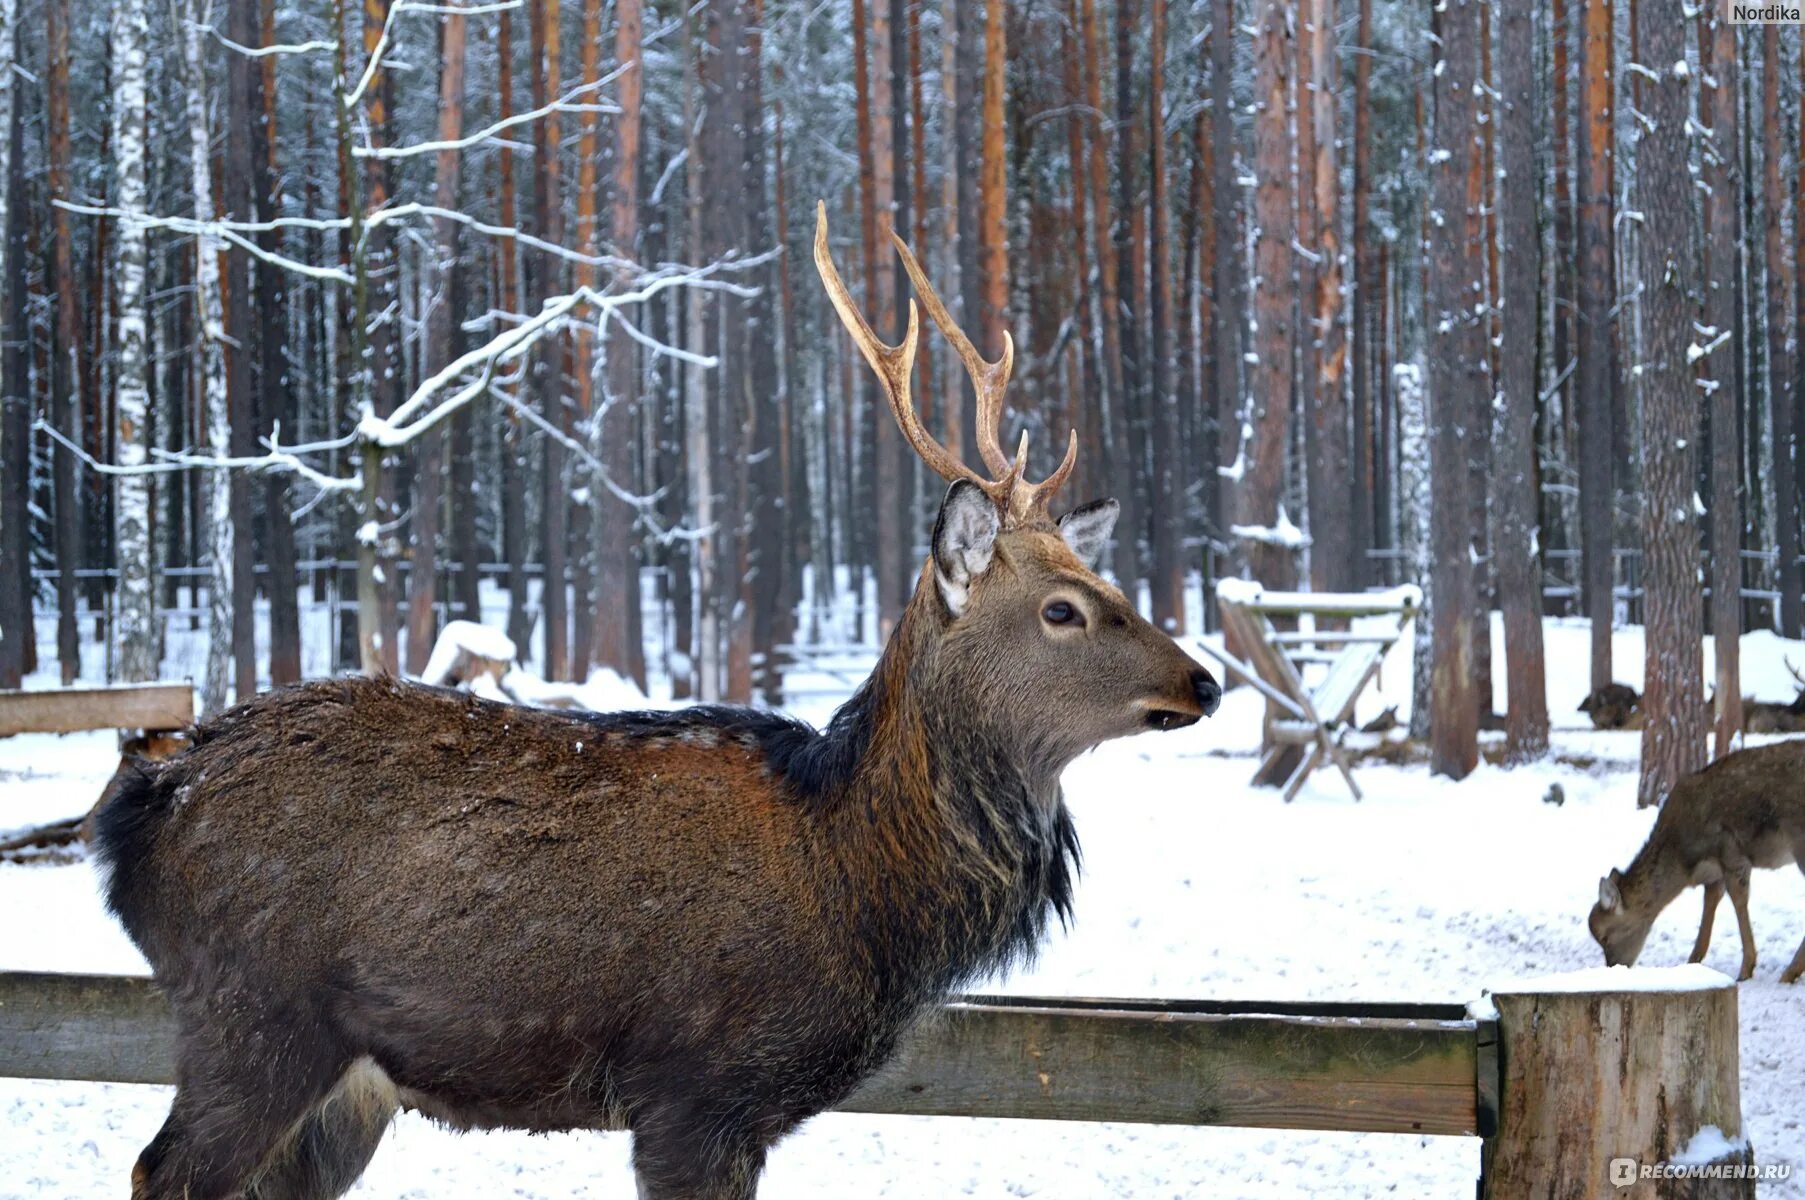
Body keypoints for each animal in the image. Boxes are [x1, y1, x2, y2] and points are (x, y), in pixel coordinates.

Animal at [91, 201, 1220, 1190]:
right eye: (1064, 609)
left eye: (1105, 583)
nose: (1202, 679)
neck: (860, 891)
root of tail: (142, 804)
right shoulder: (696, 1088)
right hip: (253, 1016)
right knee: (157, 1169)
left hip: (343, 1083)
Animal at [1595, 739, 1805, 981]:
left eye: (1605, 936)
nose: (1614, 967)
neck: (1685, 862)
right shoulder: (1715, 872)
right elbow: (1710, 900)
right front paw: (1693, 959)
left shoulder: (1730, 850)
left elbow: (1738, 900)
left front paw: (1746, 969)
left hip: (1799, 841)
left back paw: (1789, 972)